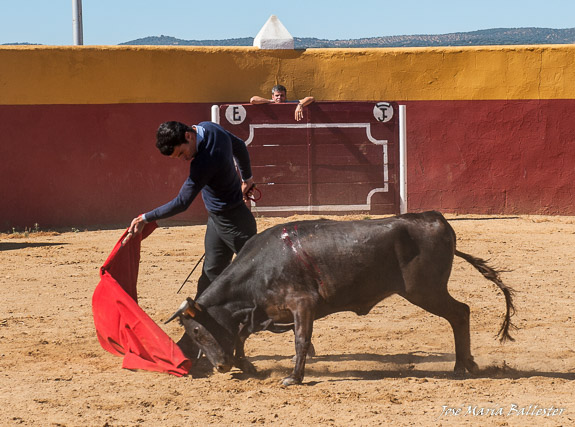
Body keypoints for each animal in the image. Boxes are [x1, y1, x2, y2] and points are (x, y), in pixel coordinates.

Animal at [164, 212, 516, 386]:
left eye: (196, 331)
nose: (220, 366)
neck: (261, 267)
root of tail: (438, 220)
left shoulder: (302, 305)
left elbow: (301, 340)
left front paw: (293, 378)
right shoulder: (262, 311)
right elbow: (240, 335)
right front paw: (245, 364)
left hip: (426, 291)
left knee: (460, 313)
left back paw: (460, 366)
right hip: (428, 292)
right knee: (460, 313)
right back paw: (465, 363)